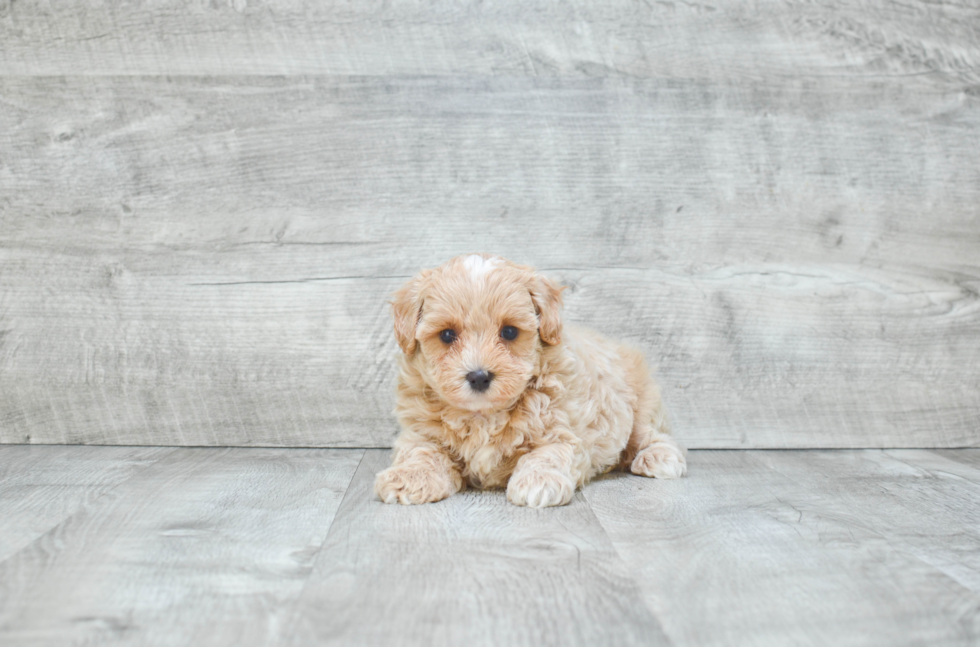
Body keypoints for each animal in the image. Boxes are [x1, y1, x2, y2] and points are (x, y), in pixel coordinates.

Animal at [376, 253, 688, 506]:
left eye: (509, 332)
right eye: (447, 335)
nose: (479, 377)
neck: (483, 415)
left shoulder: (563, 430)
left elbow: (546, 453)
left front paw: (539, 482)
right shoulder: (419, 432)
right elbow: (422, 452)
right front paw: (409, 478)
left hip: (642, 405)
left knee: (652, 435)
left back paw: (659, 457)